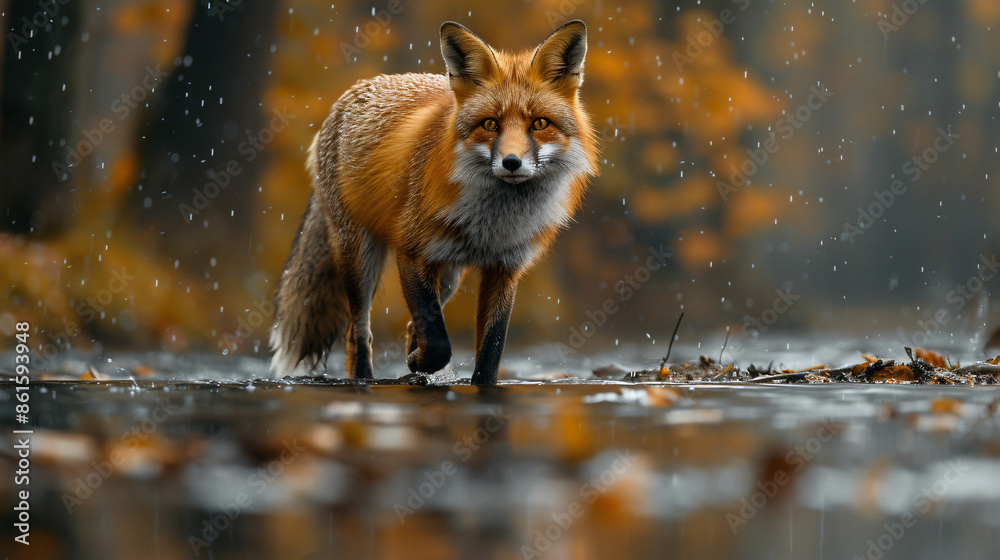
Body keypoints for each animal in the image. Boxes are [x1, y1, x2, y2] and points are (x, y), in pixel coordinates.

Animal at [270, 20, 599, 385]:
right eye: (490, 124)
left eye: (539, 123)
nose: (512, 162)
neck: (493, 223)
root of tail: (349, 94)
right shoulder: (411, 252)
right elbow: (437, 337)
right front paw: (423, 362)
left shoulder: (505, 268)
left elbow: (490, 349)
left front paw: (452, 372)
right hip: (358, 258)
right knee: (359, 333)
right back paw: (368, 378)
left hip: (451, 274)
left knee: (411, 323)